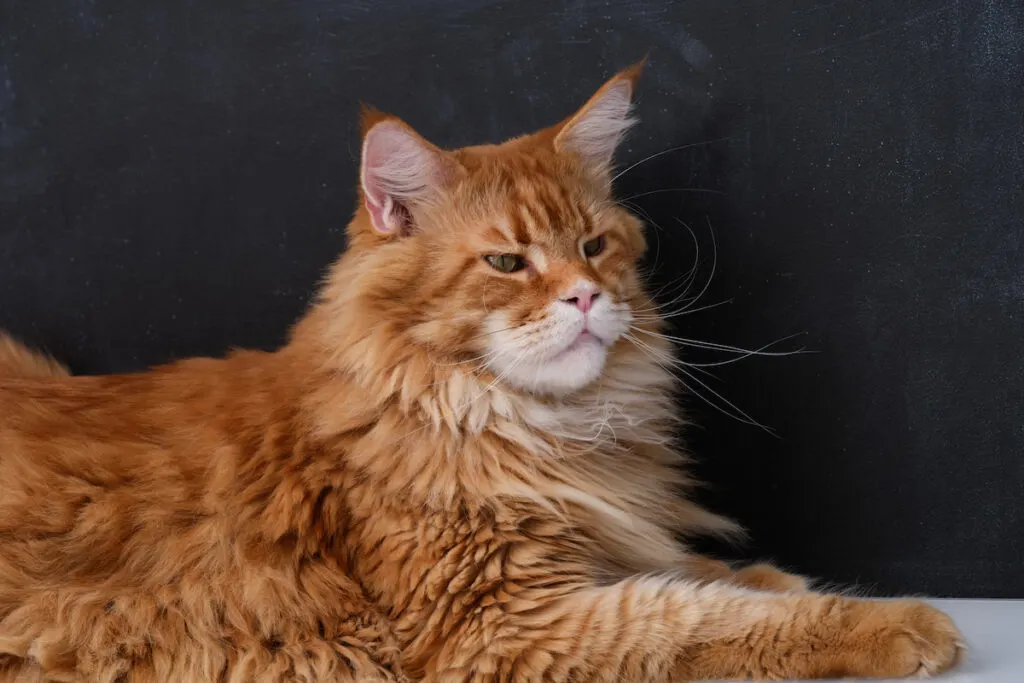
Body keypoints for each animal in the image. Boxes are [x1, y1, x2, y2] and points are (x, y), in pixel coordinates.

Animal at [0, 65, 958, 683]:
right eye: (505, 261)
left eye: (593, 246)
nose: (584, 296)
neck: (531, 426)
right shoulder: (502, 622)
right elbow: (698, 618)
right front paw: (896, 620)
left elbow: (699, 575)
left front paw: (768, 574)